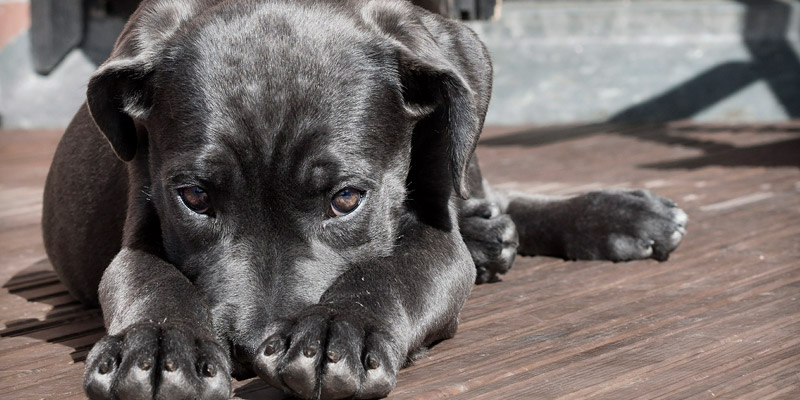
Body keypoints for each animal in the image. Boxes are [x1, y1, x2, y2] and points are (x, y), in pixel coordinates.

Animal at [40, 1, 684, 398]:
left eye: (347, 199)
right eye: (194, 196)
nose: (249, 348)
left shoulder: (434, 233)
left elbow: (396, 271)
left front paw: (335, 329)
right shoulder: (141, 221)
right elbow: (147, 277)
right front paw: (158, 344)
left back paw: (616, 215)